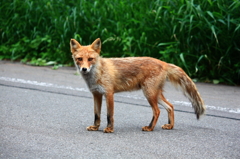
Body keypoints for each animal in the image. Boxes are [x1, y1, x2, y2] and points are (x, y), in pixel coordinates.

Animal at [70, 38, 206, 133]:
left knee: (157, 111)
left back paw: (150, 128)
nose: (84, 69)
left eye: (90, 59)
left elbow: (109, 115)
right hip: (155, 94)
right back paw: (170, 126)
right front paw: (95, 127)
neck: (98, 73)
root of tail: (163, 62)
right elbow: (97, 114)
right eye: (80, 59)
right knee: (170, 106)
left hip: (149, 93)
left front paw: (109, 129)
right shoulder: (96, 94)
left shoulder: (109, 94)